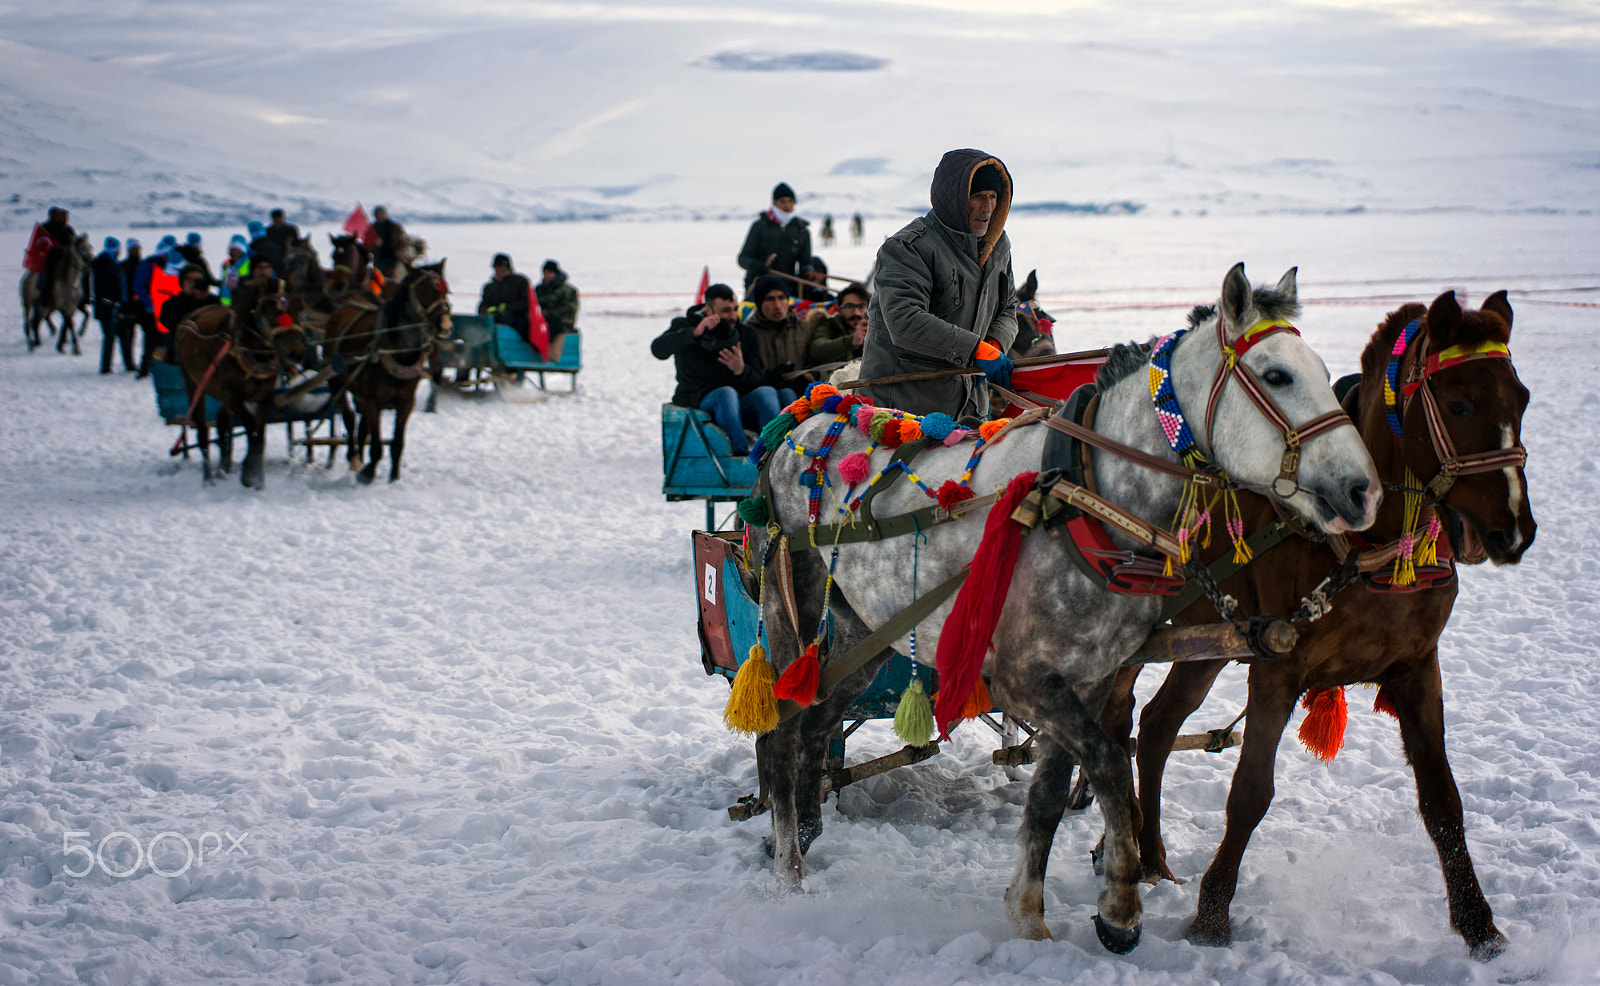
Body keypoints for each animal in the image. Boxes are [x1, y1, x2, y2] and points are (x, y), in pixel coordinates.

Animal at [175, 292, 312, 493]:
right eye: (273, 314)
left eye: (299, 311)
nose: (296, 353)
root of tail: (190, 316)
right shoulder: (233, 396)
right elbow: (251, 427)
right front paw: (249, 475)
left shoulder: (265, 397)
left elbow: (260, 435)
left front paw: (256, 477)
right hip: (193, 384)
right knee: (202, 432)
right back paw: (208, 478)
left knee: (222, 422)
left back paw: (223, 469)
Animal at [321, 257, 451, 480]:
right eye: (422, 289)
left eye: (446, 289)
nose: (444, 325)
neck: (397, 352)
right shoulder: (374, 400)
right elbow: (376, 443)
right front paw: (368, 473)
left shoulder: (406, 402)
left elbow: (397, 443)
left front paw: (394, 477)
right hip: (337, 382)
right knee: (350, 418)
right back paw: (354, 458)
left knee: (362, 425)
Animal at [755, 264, 1382, 953]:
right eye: (1276, 375)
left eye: (1323, 368)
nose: (1362, 490)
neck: (1087, 496)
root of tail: (802, 422)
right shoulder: (1025, 680)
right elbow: (1107, 760)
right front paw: (1121, 906)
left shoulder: (1088, 675)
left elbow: (1051, 796)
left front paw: (1029, 914)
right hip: (791, 610)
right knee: (781, 733)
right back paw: (787, 872)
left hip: (864, 633)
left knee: (819, 723)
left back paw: (808, 830)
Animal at [1100, 288, 1536, 960]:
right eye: (1459, 404)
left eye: (1523, 399)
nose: (1515, 529)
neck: (1369, 547)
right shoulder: (1277, 670)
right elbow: (1250, 794)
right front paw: (1211, 920)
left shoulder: (1417, 667)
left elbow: (1442, 801)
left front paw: (1478, 926)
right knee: (1112, 718)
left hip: (1205, 644)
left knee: (1154, 726)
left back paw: (1150, 857)